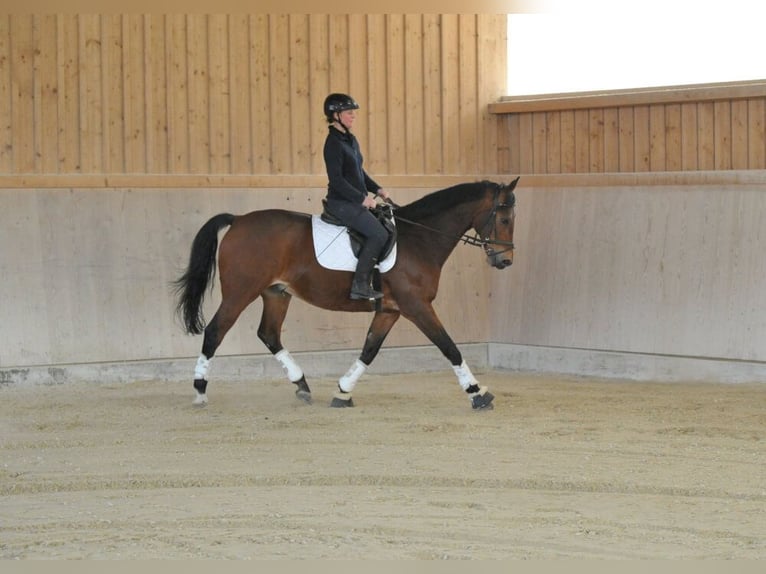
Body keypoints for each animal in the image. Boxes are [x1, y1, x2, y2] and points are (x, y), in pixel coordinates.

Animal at [173, 177, 519, 410]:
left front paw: (342, 391)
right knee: (215, 331)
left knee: (269, 334)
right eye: (504, 219)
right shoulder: (416, 306)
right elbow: (449, 347)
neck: (419, 239)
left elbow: (369, 350)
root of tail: (238, 220)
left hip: (276, 294)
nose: (505, 261)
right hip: (240, 292)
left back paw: (302, 385)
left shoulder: (390, 310)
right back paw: (200, 391)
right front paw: (477, 393)